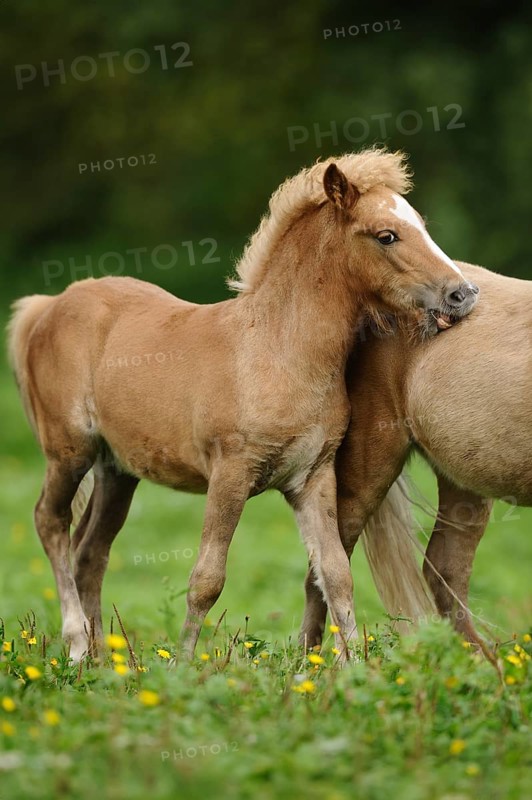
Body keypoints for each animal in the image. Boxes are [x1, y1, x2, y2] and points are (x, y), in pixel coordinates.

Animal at [7, 148, 478, 662]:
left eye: (422, 225)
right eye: (386, 235)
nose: (463, 294)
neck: (278, 350)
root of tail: (48, 306)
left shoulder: (312, 478)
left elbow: (335, 573)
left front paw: (357, 666)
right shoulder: (230, 474)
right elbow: (207, 580)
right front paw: (184, 666)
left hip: (117, 471)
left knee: (90, 551)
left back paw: (103, 660)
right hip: (69, 450)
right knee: (50, 522)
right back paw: (76, 644)